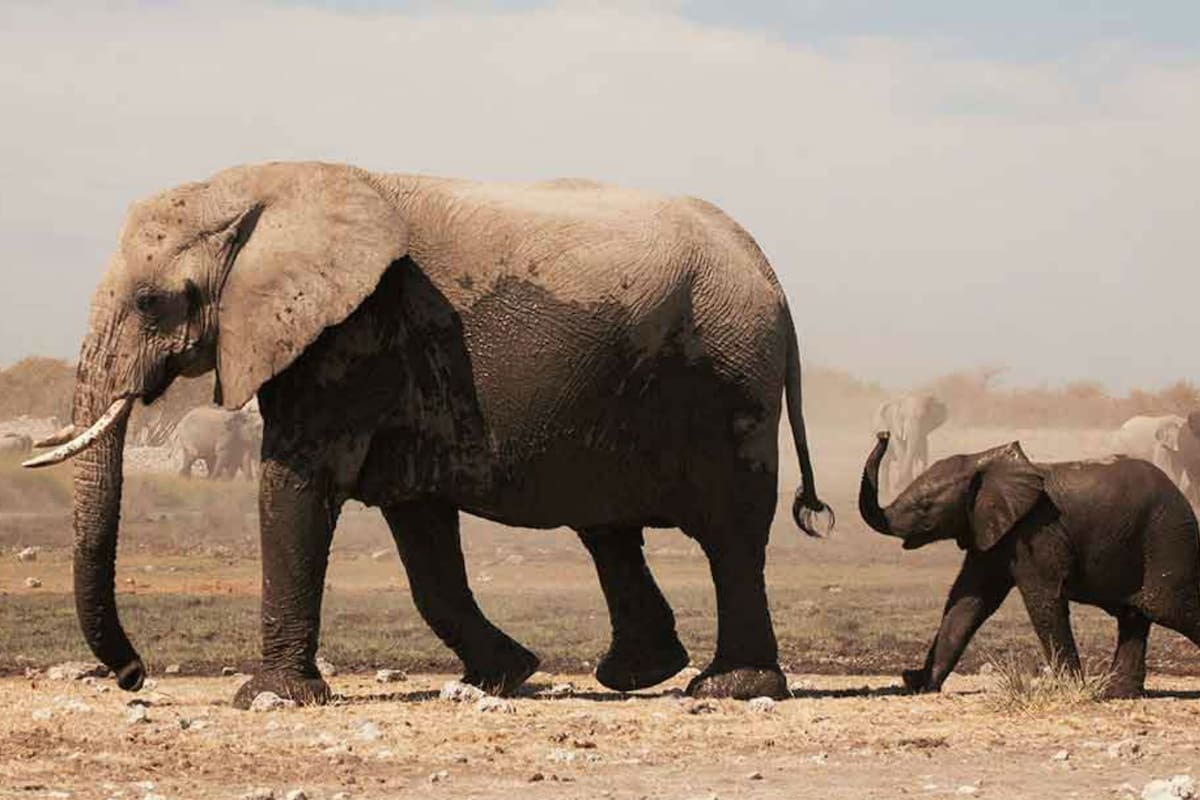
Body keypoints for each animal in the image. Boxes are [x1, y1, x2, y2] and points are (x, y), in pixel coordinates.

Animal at [24, 161, 832, 707]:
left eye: (152, 302)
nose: (133, 677)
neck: (261, 187)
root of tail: (769, 270)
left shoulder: (352, 336)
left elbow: (296, 486)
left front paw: (269, 699)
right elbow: (421, 536)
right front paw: (505, 676)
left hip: (728, 376)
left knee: (729, 534)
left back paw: (729, 689)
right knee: (607, 528)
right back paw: (638, 675)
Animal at [858, 432, 1200, 698]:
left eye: (924, 506)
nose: (883, 435)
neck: (981, 463)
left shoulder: (1038, 531)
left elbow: (1043, 600)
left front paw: (1070, 690)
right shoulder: (993, 533)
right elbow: (968, 602)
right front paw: (921, 684)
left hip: (1167, 541)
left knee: (1169, 608)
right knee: (1134, 616)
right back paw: (1117, 695)